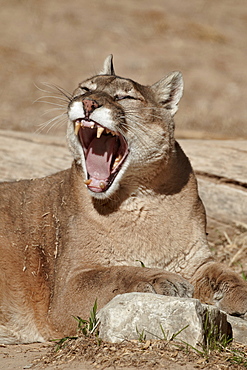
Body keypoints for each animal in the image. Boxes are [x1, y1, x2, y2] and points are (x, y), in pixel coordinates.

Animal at [0, 55, 247, 344]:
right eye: (85, 88)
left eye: (124, 97)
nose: (88, 103)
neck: (140, 197)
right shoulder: (68, 290)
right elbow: (115, 274)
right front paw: (161, 280)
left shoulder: (196, 260)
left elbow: (224, 273)